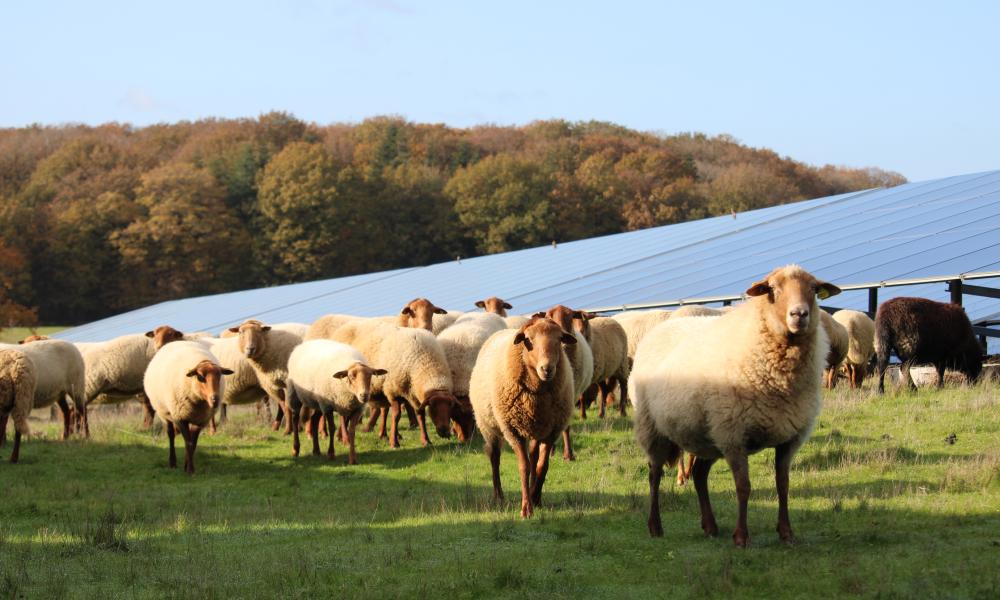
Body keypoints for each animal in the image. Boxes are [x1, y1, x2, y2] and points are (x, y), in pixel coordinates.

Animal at [143, 342, 232, 474]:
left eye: (219, 376)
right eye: (200, 377)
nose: (215, 399)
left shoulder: (200, 420)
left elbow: (193, 444)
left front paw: (187, 466)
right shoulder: (180, 418)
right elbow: (188, 443)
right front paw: (190, 470)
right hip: (165, 414)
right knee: (171, 435)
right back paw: (172, 463)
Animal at [470, 316, 580, 516]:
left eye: (559, 339)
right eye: (528, 340)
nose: (547, 369)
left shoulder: (551, 430)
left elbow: (542, 465)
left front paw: (535, 497)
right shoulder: (513, 431)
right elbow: (524, 467)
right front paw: (526, 508)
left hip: (536, 427)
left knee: (534, 456)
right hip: (489, 426)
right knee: (494, 457)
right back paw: (499, 495)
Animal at [632, 264, 836, 548]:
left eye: (814, 289)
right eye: (772, 289)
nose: (799, 314)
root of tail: (662, 327)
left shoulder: (791, 437)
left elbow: (783, 484)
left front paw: (786, 533)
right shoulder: (734, 435)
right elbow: (743, 486)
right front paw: (741, 537)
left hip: (708, 435)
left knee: (699, 474)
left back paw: (710, 526)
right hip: (653, 428)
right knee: (654, 475)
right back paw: (655, 526)